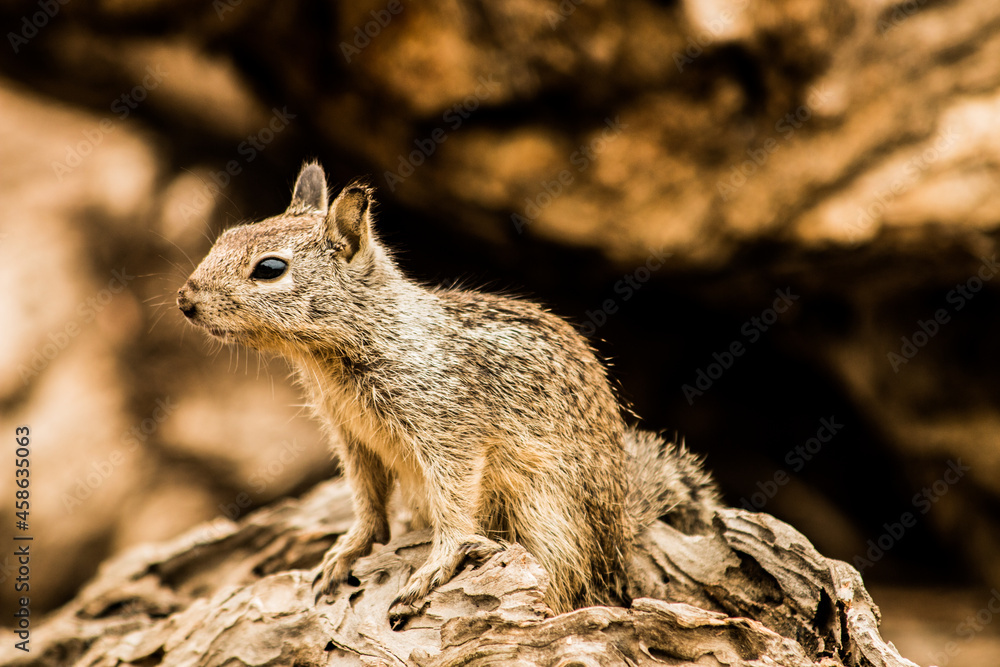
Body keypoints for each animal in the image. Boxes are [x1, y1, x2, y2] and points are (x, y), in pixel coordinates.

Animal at [177, 162, 720, 623]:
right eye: (226, 236)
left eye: (269, 269)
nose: (185, 299)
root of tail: (618, 543)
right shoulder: (352, 438)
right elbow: (367, 502)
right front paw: (348, 549)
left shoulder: (450, 429)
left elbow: (454, 503)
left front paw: (438, 563)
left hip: (548, 517)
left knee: (566, 583)